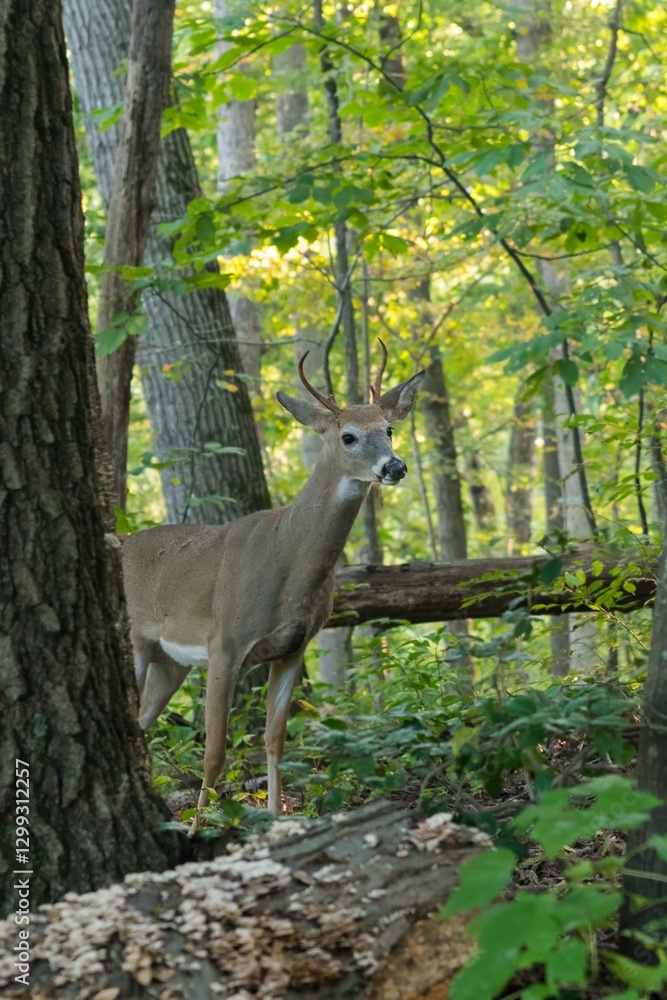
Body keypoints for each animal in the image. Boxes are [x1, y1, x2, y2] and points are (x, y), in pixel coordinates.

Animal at [121, 341, 424, 834]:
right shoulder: (224, 642)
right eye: (349, 437)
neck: (288, 565)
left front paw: (277, 820)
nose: (394, 467)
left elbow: (275, 741)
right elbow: (214, 753)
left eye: (390, 429)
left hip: (171, 662)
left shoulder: (292, 647)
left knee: (142, 723)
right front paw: (196, 830)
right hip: (134, 639)